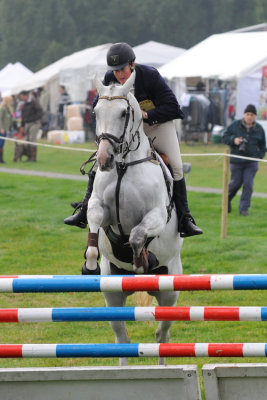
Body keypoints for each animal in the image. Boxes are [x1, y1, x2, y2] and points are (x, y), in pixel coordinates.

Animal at [85, 71, 183, 366]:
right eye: (95, 112)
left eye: (123, 112)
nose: (103, 158)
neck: (123, 165)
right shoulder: (100, 207)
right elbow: (94, 218)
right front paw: (90, 262)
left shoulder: (156, 215)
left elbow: (139, 234)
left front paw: (141, 262)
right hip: (113, 293)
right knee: (122, 339)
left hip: (169, 291)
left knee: (162, 336)